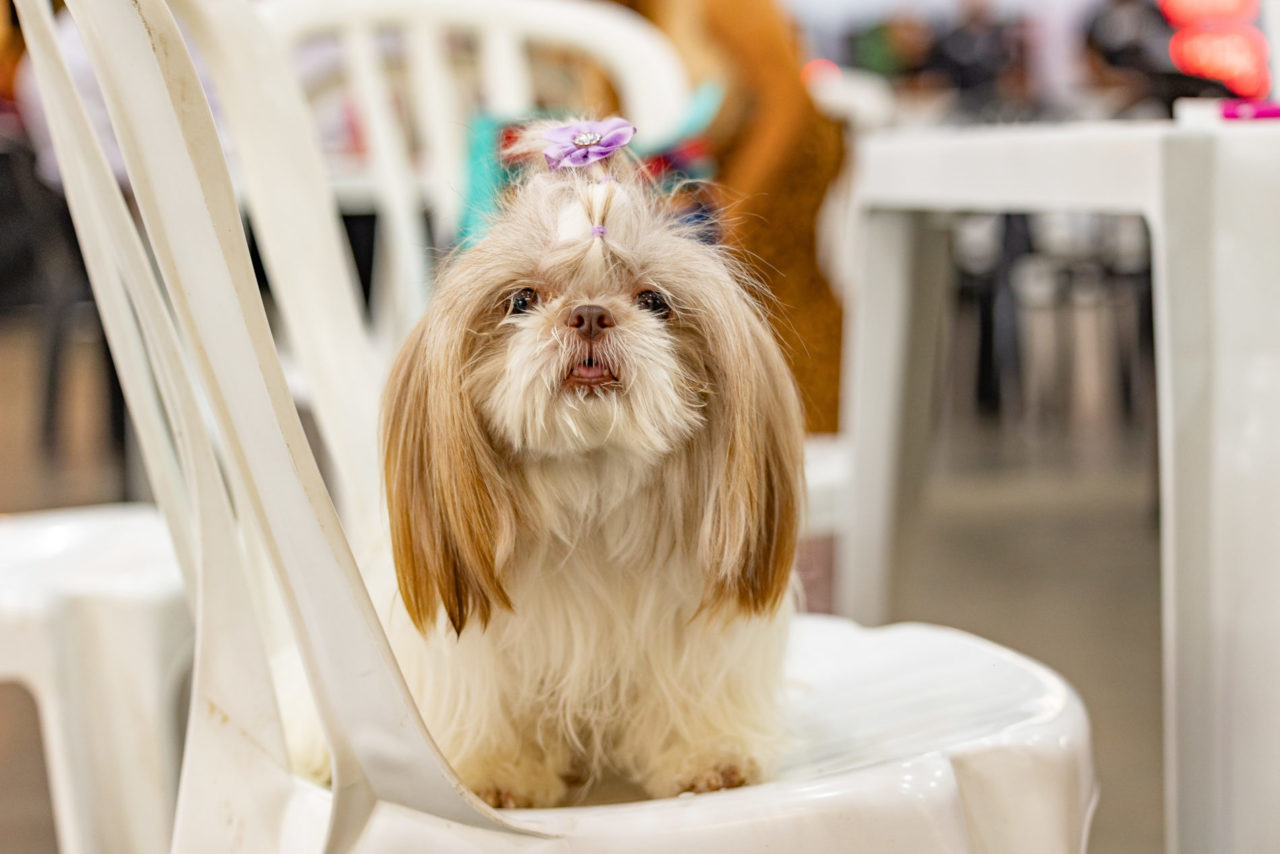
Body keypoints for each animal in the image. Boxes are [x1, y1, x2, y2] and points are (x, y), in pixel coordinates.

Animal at [309, 118, 805, 809]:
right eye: (521, 299)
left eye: (654, 301)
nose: (591, 313)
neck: (589, 487)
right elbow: (489, 706)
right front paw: (496, 774)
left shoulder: (692, 631)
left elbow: (684, 689)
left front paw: (705, 757)